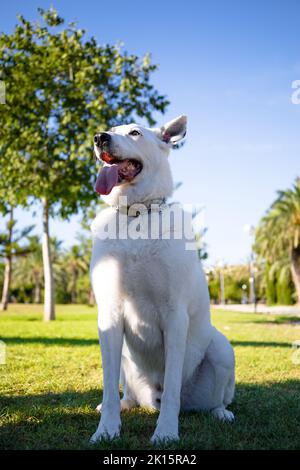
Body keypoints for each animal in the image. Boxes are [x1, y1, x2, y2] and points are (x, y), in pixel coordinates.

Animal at [89, 115, 234, 442]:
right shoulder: (109, 315)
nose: (99, 138)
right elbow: (107, 388)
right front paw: (106, 429)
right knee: (124, 393)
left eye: (134, 132)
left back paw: (220, 412)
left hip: (222, 349)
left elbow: (172, 392)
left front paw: (166, 432)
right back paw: (124, 403)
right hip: (125, 363)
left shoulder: (174, 315)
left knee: (214, 398)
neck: (135, 215)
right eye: (110, 129)